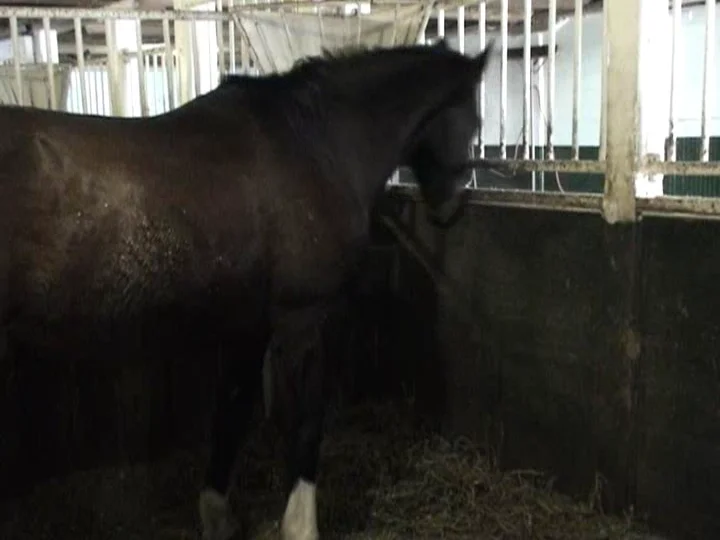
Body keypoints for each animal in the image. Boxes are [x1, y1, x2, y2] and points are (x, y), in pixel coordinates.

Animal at [0, 39, 492, 540]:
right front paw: (300, 526)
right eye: (475, 121)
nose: (451, 206)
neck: (316, 146)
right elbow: (305, 424)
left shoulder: (247, 326)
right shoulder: (300, 323)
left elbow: (231, 414)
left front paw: (217, 515)